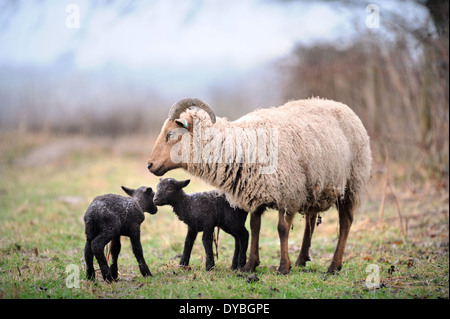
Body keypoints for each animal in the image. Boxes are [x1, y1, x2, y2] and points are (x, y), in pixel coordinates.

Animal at [146, 97, 370, 276]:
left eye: (171, 134)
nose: (149, 165)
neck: (243, 146)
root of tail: (342, 105)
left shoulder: (288, 194)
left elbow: (282, 229)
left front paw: (283, 267)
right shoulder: (255, 193)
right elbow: (254, 228)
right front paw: (250, 266)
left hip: (351, 184)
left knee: (345, 223)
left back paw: (333, 266)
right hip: (314, 188)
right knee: (311, 220)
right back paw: (301, 260)